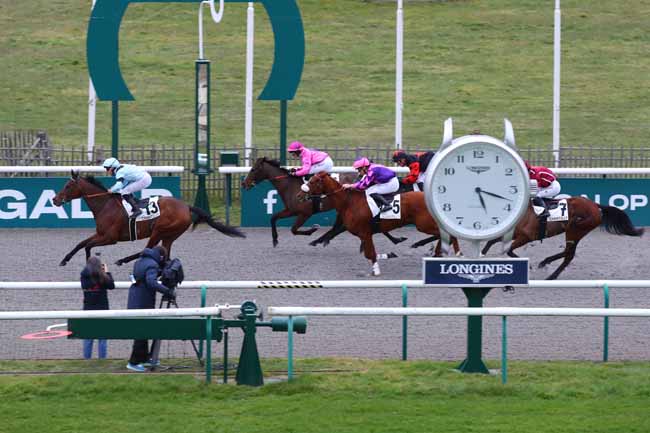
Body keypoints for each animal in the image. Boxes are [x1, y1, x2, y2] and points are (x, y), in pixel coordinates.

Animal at [52, 170, 246, 264]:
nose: (54, 199)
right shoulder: (100, 234)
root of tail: (186, 206)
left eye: (68, 186)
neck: (106, 205)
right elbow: (81, 244)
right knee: (164, 254)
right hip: (170, 236)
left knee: (147, 250)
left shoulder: (110, 238)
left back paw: (122, 260)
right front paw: (64, 260)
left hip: (159, 230)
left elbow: (88, 246)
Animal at [240, 159, 408, 246]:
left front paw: (312, 230)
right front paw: (275, 240)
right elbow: (273, 218)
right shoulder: (291, 210)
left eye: (253, 169)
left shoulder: (305, 213)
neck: (290, 185)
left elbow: (294, 229)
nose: (244, 183)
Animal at [296, 171, 458, 276]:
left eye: (312, 181)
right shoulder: (364, 234)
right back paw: (437, 253)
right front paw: (390, 254)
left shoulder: (365, 232)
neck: (349, 202)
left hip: (424, 224)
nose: (299, 195)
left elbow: (370, 253)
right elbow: (369, 252)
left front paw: (376, 269)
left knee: (446, 235)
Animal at [478, 197, 640, 280]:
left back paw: (551, 275)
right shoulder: (515, 233)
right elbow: (492, 241)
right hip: (575, 232)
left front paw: (528, 266)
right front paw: (481, 255)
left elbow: (509, 251)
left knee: (569, 254)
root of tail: (595, 205)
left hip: (575, 229)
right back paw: (545, 263)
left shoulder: (526, 237)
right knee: (568, 253)